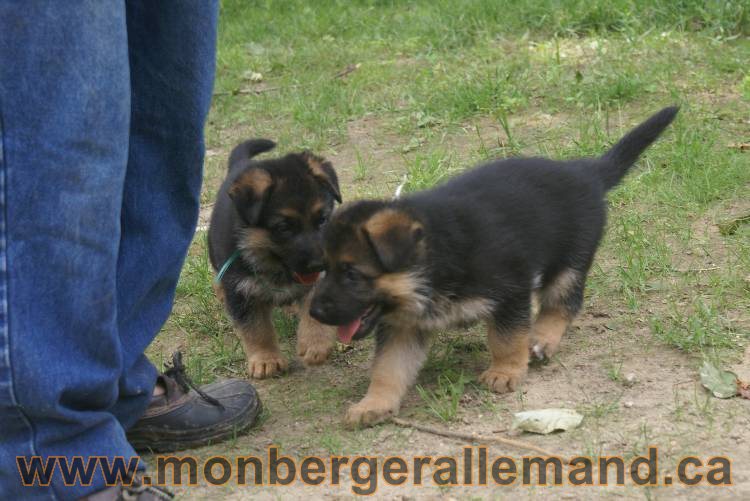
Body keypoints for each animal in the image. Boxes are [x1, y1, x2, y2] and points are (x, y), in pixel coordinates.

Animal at [210, 139, 342, 376]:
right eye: (283, 228)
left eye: (322, 219)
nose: (319, 264)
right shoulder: (241, 290)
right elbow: (256, 329)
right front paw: (265, 359)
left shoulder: (319, 280)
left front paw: (315, 344)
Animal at [310, 106, 680, 426]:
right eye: (325, 268)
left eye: (352, 274)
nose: (313, 312)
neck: (434, 258)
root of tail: (584, 172)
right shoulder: (403, 327)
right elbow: (388, 368)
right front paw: (374, 404)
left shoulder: (510, 291)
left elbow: (505, 338)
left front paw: (506, 371)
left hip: (569, 262)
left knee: (563, 303)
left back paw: (541, 338)